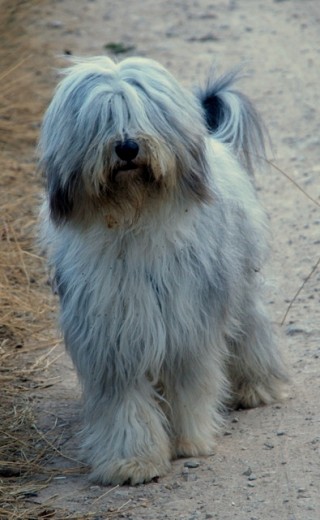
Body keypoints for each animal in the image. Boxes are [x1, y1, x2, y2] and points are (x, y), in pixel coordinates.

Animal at [38, 55, 288, 484]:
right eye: (104, 117)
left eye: (144, 113)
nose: (127, 147)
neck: (132, 222)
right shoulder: (109, 335)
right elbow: (123, 403)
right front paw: (132, 461)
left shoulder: (188, 321)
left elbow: (190, 384)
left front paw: (189, 441)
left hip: (238, 282)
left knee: (250, 326)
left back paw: (259, 386)